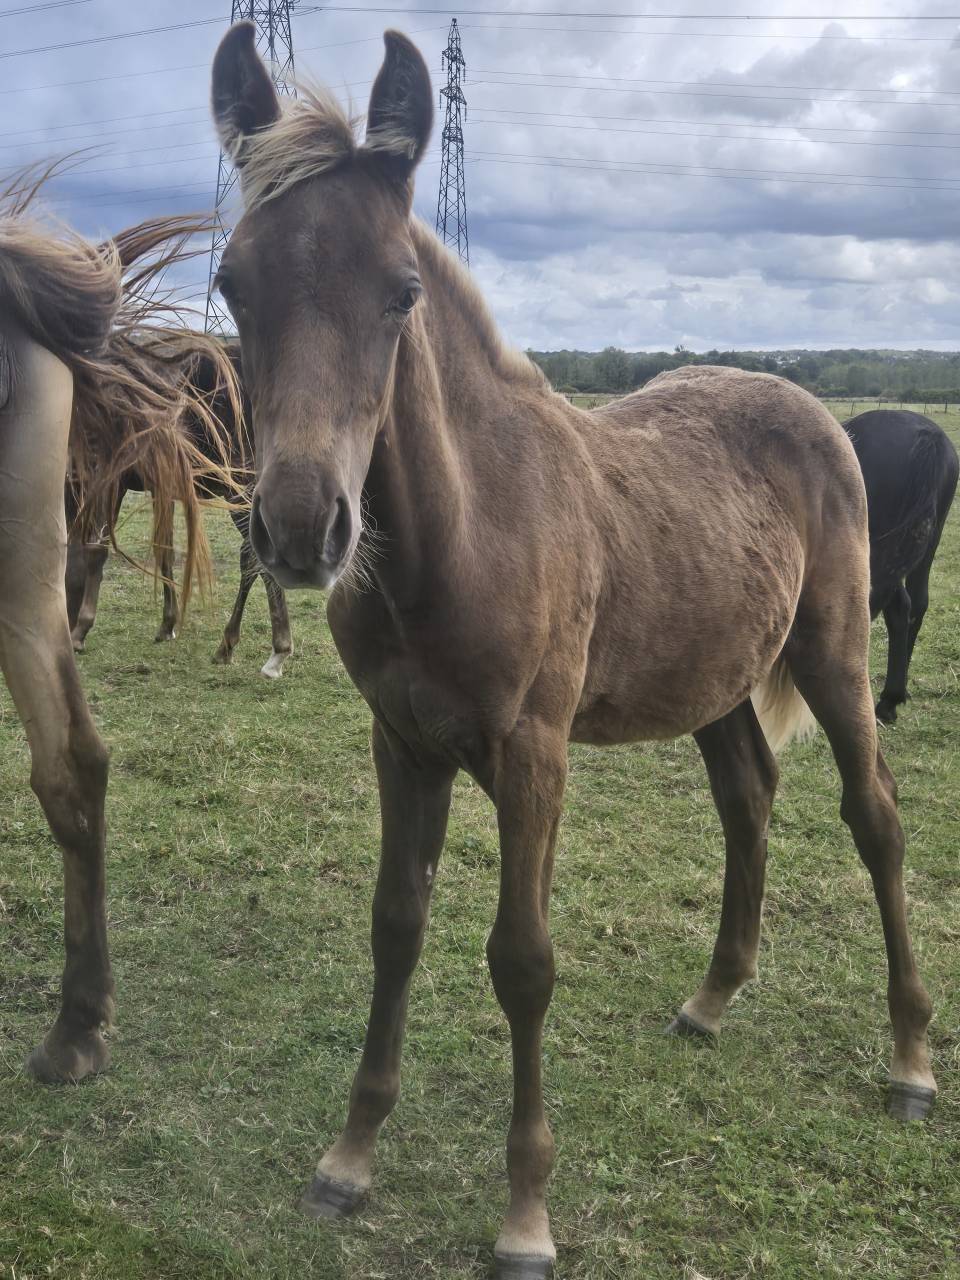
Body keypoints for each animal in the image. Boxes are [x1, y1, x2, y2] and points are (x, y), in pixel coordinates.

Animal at [66, 339, 293, 678]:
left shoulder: (109, 480)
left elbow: (96, 551)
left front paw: (81, 629)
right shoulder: (161, 489)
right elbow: (165, 551)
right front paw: (167, 624)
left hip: (242, 490)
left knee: (254, 558)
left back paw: (267, 649)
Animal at [209, 25, 937, 1276]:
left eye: (402, 293)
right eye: (231, 286)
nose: (301, 527)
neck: (460, 535)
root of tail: (812, 411)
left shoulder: (532, 754)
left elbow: (522, 958)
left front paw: (525, 1215)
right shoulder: (404, 744)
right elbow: (395, 924)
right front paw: (350, 1158)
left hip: (836, 654)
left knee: (874, 815)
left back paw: (909, 1061)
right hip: (717, 676)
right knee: (749, 795)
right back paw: (712, 998)